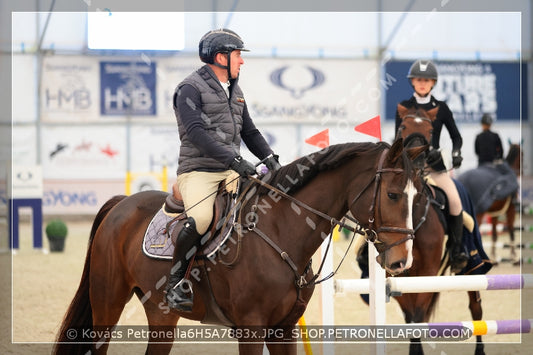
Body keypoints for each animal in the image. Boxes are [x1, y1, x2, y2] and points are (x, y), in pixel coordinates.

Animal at [54, 141, 426, 355]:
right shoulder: (251, 327)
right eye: (393, 194)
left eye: (417, 195)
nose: (402, 261)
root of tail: (122, 203)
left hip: (161, 314)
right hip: (108, 303)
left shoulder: (282, 330)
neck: (279, 229)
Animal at [358, 105, 490, 355]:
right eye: (402, 126)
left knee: (476, 309)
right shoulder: (397, 272)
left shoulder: (428, 271)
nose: (417, 164)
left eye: (430, 129)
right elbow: (410, 317)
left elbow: (418, 317)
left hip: (472, 268)